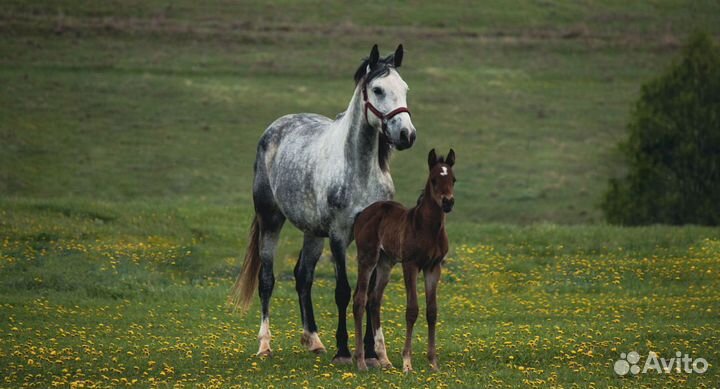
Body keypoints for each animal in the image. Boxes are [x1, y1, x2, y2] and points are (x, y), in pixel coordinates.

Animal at [232, 44, 416, 362]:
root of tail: (277, 126)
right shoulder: (339, 236)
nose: (406, 135)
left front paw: (373, 352)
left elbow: (370, 293)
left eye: (403, 88)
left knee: (303, 276)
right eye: (378, 89)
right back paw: (265, 345)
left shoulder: (372, 237)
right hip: (271, 221)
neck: (359, 169)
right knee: (266, 280)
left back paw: (314, 340)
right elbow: (343, 290)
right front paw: (344, 350)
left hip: (313, 233)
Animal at [352, 148, 456, 370]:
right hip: (368, 258)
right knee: (360, 299)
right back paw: (361, 362)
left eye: (453, 179)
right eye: (434, 180)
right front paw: (407, 362)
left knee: (374, 300)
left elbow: (432, 311)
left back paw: (384, 359)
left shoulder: (433, 267)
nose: (448, 202)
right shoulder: (411, 264)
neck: (428, 228)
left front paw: (433, 363)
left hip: (385, 263)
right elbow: (412, 309)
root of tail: (363, 213)